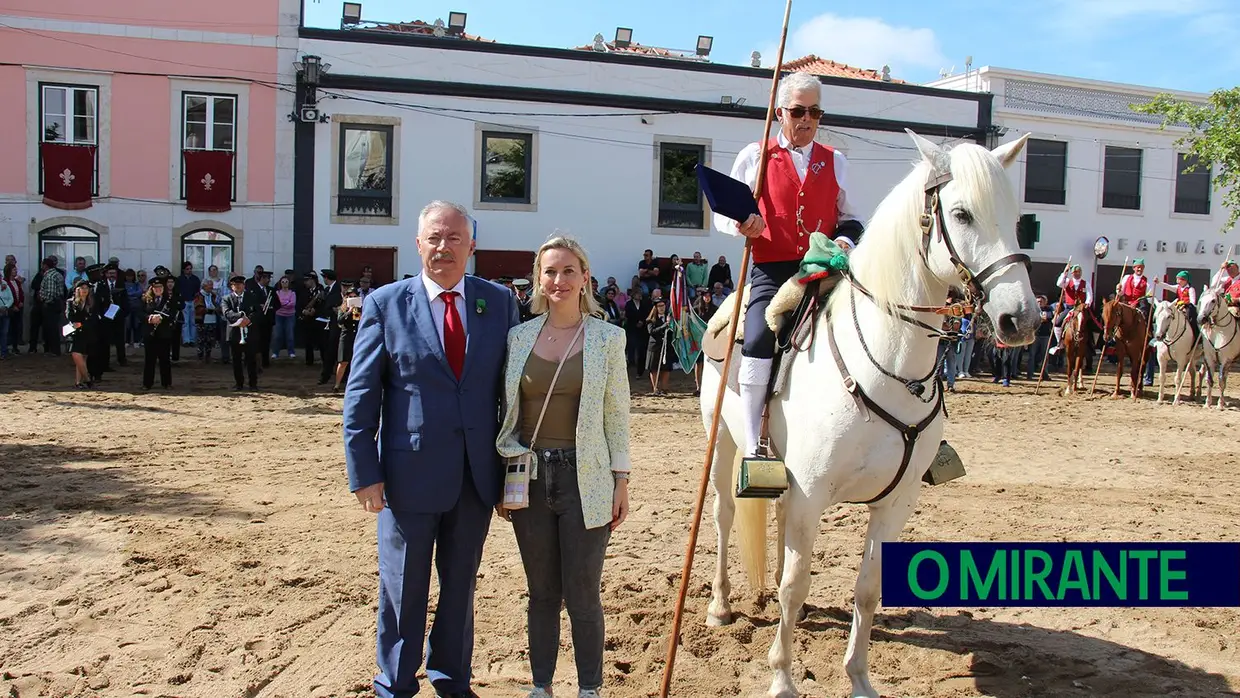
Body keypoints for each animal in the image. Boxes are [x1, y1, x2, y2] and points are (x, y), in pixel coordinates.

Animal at [699, 132, 1036, 698]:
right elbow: (794, 585)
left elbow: (868, 589)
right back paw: (721, 605)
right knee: (725, 515)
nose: (1022, 319)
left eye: (1015, 218)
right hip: (724, 444)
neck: (887, 362)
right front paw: (782, 677)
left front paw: (858, 677)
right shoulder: (812, 492)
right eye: (962, 214)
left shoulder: (894, 503)